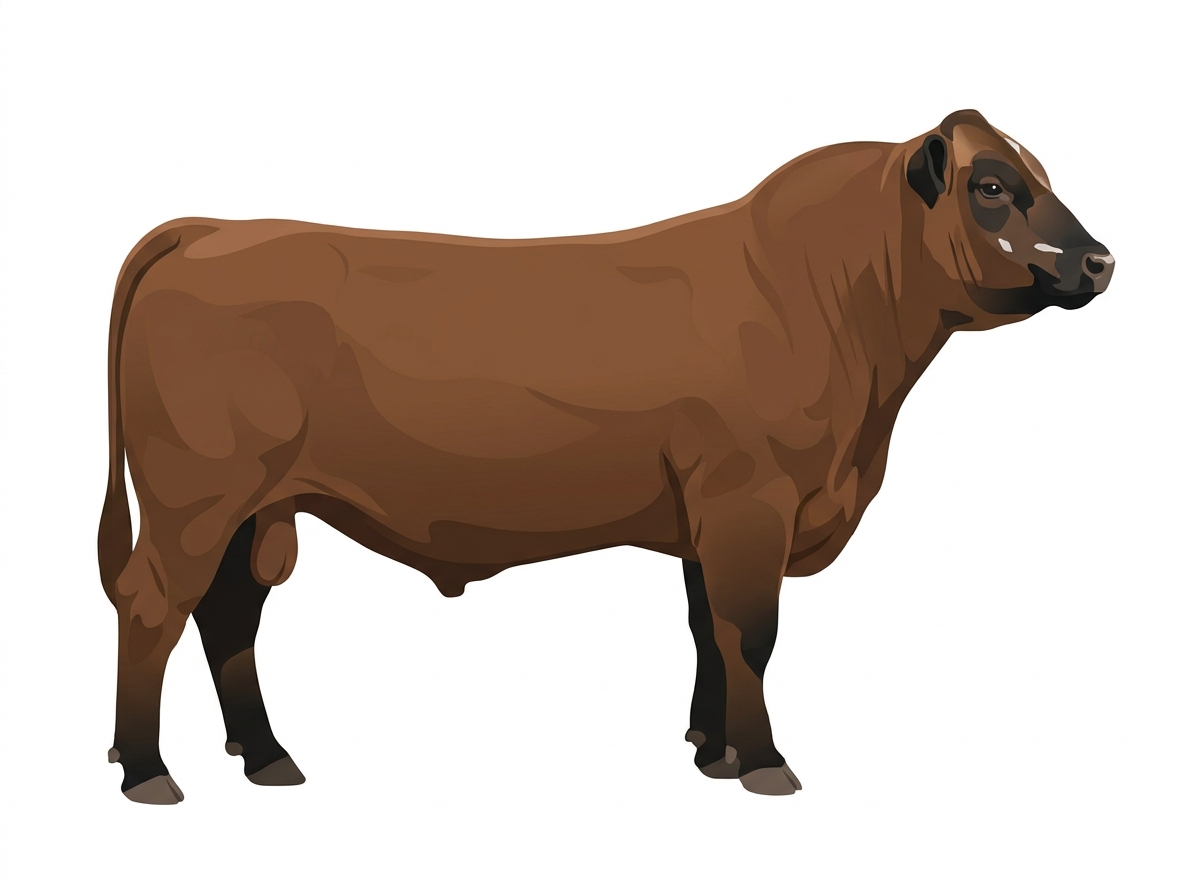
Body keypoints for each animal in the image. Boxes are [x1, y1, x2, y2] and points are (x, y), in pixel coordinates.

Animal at [98, 110, 1113, 803]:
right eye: (992, 185)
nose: (1100, 260)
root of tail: (211, 228)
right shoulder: (751, 501)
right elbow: (751, 633)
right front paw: (766, 763)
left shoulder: (710, 516)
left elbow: (708, 631)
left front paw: (714, 751)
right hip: (196, 497)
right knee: (153, 605)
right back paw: (148, 773)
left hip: (257, 509)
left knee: (229, 617)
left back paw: (268, 756)